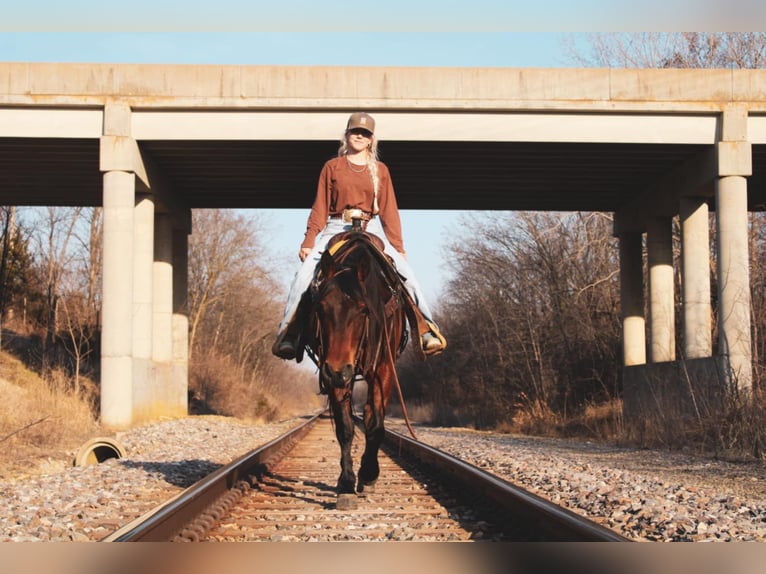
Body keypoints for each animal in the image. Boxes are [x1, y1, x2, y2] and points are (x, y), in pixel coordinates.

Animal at [298, 220, 424, 508]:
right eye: (320, 308)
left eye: (363, 310)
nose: (338, 370)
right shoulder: (333, 370)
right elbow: (345, 427)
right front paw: (345, 483)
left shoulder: (383, 369)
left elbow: (374, 424)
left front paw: (368, 475)